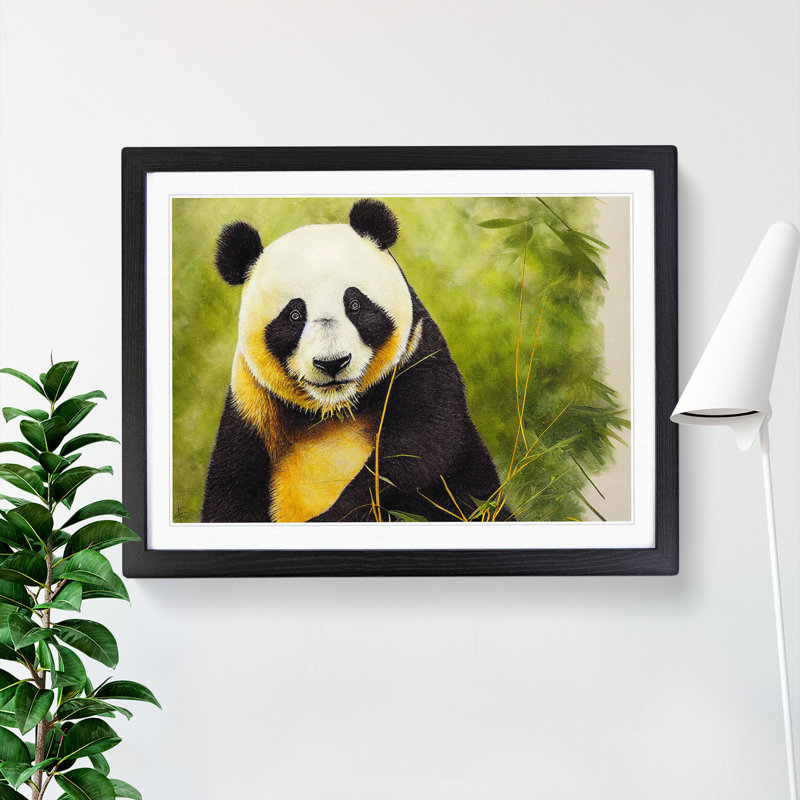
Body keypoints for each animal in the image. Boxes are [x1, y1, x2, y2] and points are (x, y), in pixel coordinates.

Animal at [201, 199, 504, 523]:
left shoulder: (418, 358)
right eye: (294, 316)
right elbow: (230, 490)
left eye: (355, 304)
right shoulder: (251, 405)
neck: (334, 411)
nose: (332, 363)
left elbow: (418, 452)